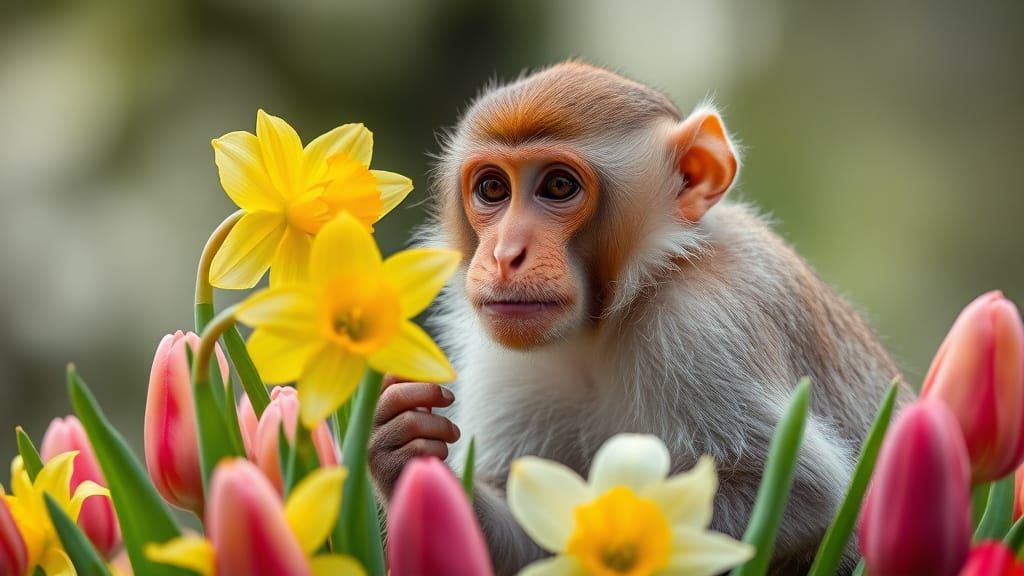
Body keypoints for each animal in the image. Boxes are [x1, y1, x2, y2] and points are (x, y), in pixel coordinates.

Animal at [369, 61, 905, 575]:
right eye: (493, 188)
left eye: (558, 185)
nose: (504, 255)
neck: (608, 321)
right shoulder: (508, 361)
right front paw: (399, 444)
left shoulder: (704, 326)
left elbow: (804, 495)